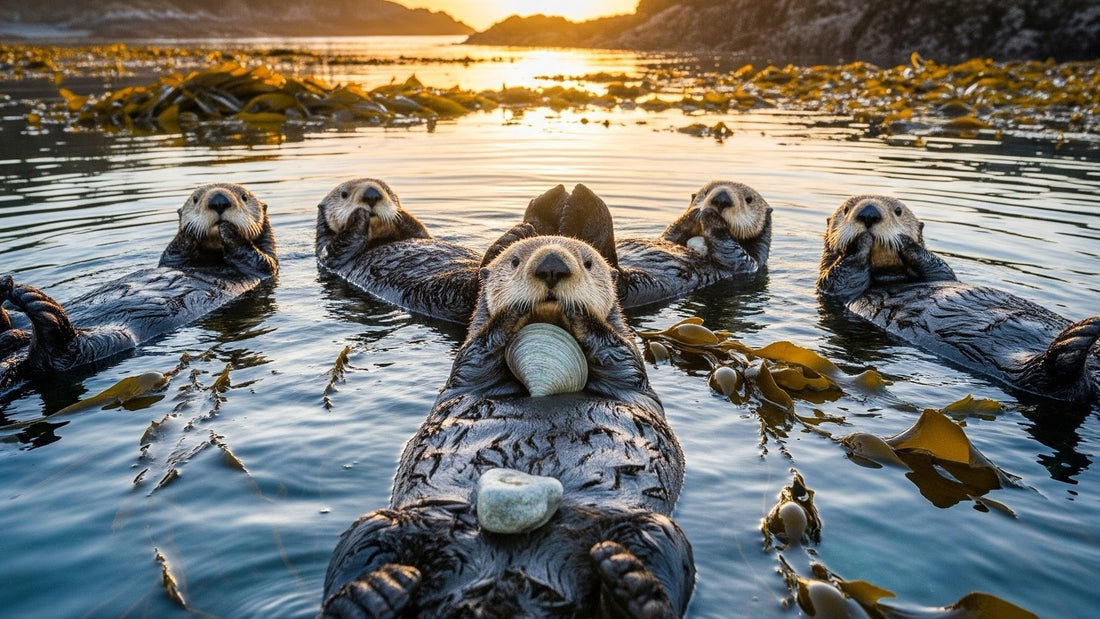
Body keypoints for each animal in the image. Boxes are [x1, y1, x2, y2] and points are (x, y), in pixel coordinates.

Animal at [0, 183, 277, 388]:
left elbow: (254, 256)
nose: (219, 201)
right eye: (196, 199)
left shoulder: (264, 266)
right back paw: (7, 290)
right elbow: (174, 251)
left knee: (58, 355)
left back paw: (34, 301)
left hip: (108, 340)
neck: (211, 258)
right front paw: (187, 231)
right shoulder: (174, 259)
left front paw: (229, 230)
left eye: (244, 196)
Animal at [321, 236, 695, 617]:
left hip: (652, 529)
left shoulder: (628, 370)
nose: (552, 265)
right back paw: (373, 592)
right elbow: (479, 351)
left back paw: (631, 584)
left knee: (659, 563)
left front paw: (580, 313)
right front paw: (512, 312)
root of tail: (500, 591)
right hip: (384, 525)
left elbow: (615, 350)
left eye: (589, 263)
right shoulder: (469, 369)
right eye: (514, 261)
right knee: (361, 550)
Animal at [817, 194, 1099, 403]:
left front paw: (908, 243)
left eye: (898, 210)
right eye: (845, 209)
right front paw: (859, 244)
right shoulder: (834, 288)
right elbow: (842, 275)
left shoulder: (940, 273)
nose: (869, 213)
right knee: (1057, 381)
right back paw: (1079, 335)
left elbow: (938, 266)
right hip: (1028, 374)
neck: (891, 278)